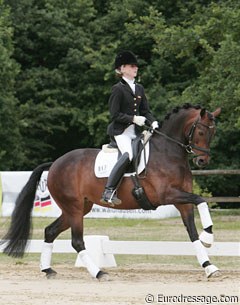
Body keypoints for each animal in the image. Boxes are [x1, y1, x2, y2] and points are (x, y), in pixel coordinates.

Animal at [0, 103, 221, 280]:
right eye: (201, 132)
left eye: (213, 133)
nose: (202, 161)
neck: (169, 152)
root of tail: (55, 163)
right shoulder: (166, 195)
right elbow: (201, 199)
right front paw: (208, 236)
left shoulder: (182, 202)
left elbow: (192, 231)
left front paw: (209, 265)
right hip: (74, 208)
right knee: (77, 241)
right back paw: (98, 272)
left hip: (78, 208)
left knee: (50, 231)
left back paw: (48, 270)